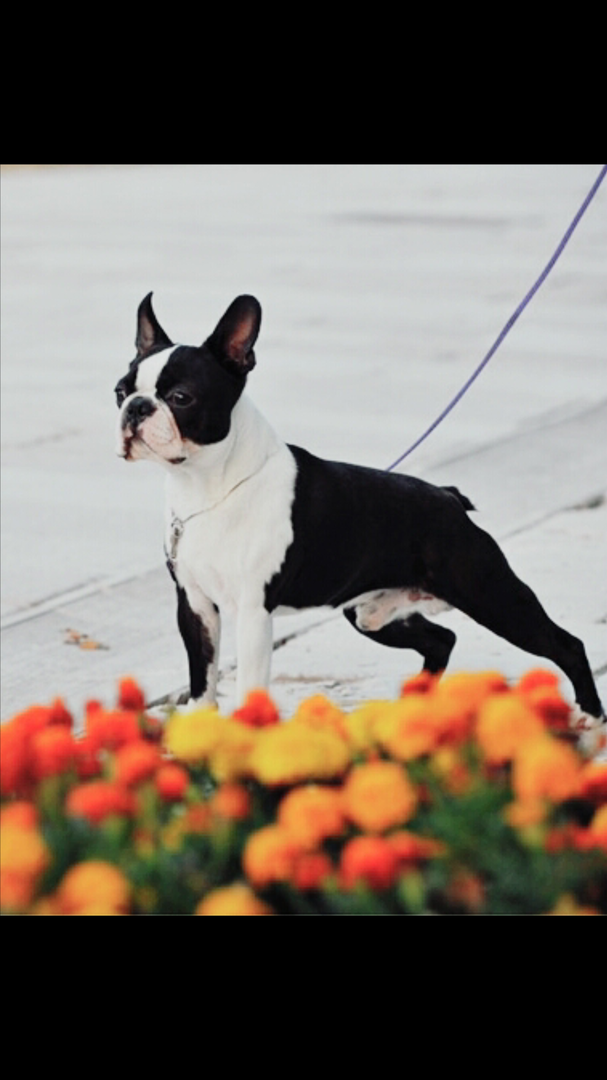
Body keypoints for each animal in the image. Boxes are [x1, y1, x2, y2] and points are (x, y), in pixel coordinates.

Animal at [113, 291, 600, 721]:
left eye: (181, 398)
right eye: (119, 391)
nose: (136, 407)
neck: (206, 487)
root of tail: (447, 497)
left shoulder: (253, 611)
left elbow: (248, 684)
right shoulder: (195, 605)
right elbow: (202, 681)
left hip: (491, 594)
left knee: (565, 645)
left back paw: (590, 718)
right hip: (370, 614)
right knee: (442, 639)